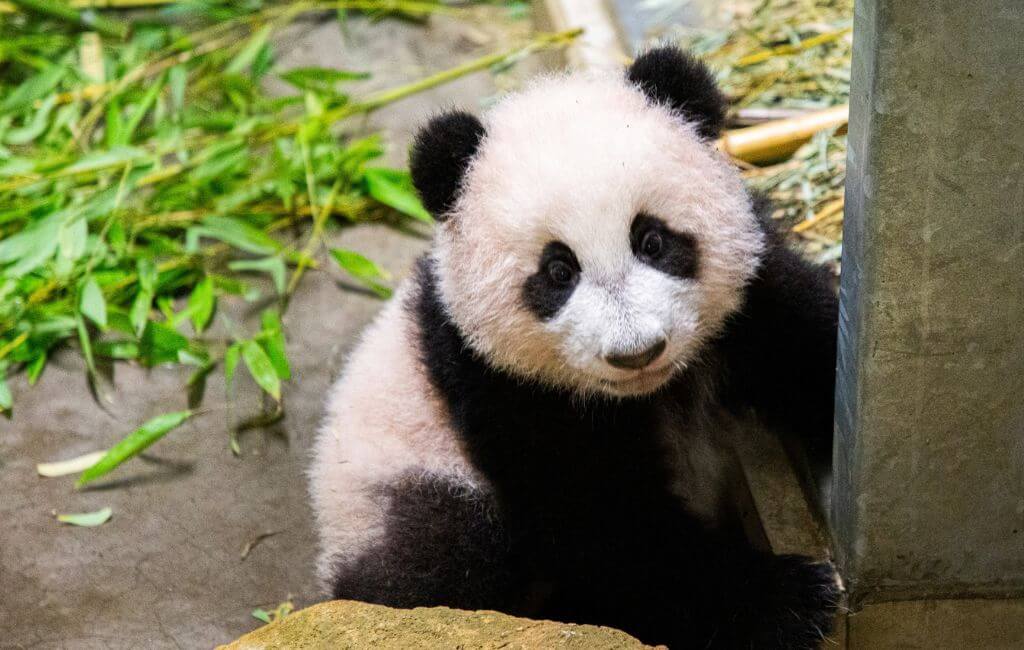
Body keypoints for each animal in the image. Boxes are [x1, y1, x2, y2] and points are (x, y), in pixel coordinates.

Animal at [309, 47, 841, 648]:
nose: (637, 352)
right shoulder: (497, 383)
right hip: (404, 488)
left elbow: (806, 347)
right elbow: (604, 524)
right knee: (441, 567)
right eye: (559, 271)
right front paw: (791, 597)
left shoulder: (748, 300)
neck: (650, 393)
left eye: (652, 240)